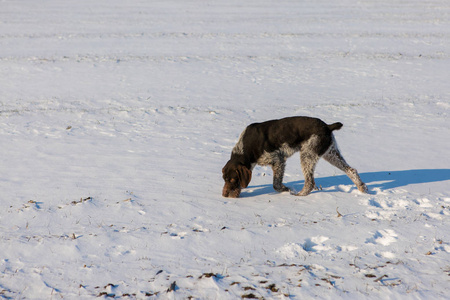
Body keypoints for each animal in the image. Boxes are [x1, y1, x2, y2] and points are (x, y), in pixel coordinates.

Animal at [221, 116, 366, 198]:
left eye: (233, 179)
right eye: (224, 179)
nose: (225, 195)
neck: (245, 149)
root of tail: (327, 126)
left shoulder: (278, 160)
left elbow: (276, 184)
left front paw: (286, 189)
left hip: (307, 155)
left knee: (310, 183)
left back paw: (299, 195)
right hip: (330, 153)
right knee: (351, 170)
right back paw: (362, 188)